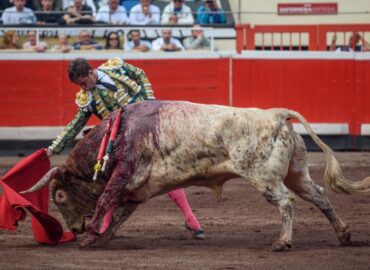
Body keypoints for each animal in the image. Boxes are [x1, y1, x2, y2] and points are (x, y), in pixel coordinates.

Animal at [22, 100, 370, 251]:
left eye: (60, 195)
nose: (73, 229)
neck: (116, 134)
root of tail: (276, 114)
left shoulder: (122, 177)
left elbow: (104, 201)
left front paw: (90, 236)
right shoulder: (135, 191)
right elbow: (118, 214)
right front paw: (102, 237)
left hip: (263, 177)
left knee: (286, 202)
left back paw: (282, 242)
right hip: (296, 173)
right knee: (319, 196)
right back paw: (343, 235)